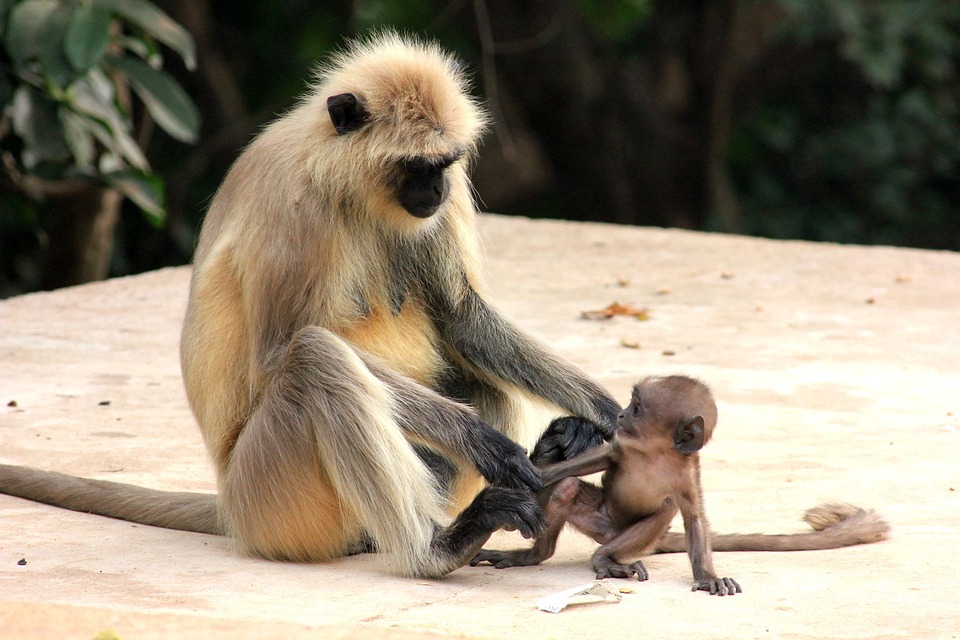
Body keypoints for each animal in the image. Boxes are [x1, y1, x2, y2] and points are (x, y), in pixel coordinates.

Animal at [0, 33, 622, 578]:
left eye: (444, 165)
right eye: (415, 167)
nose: (437, 192)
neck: (339, 175)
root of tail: (229, 503)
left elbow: (461, 318)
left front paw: (604, 414)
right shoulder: (294, 210)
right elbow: (280, 355)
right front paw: (482, 441)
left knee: (476, 379)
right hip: (269, 493)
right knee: (315, 357)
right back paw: (437, 549)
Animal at [473, 376, 890, 595]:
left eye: (637, 408)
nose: (620, 416)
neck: (655, 455)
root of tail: (612, 535)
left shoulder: (686, 474)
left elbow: (693, 516)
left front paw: (707, 577)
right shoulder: (624, 447)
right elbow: (591, 464)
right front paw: (523, 476)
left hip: (628, 536)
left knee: (664, 509)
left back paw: (606, 559)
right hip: (601, 519)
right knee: (568, 490)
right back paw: (534, 556)